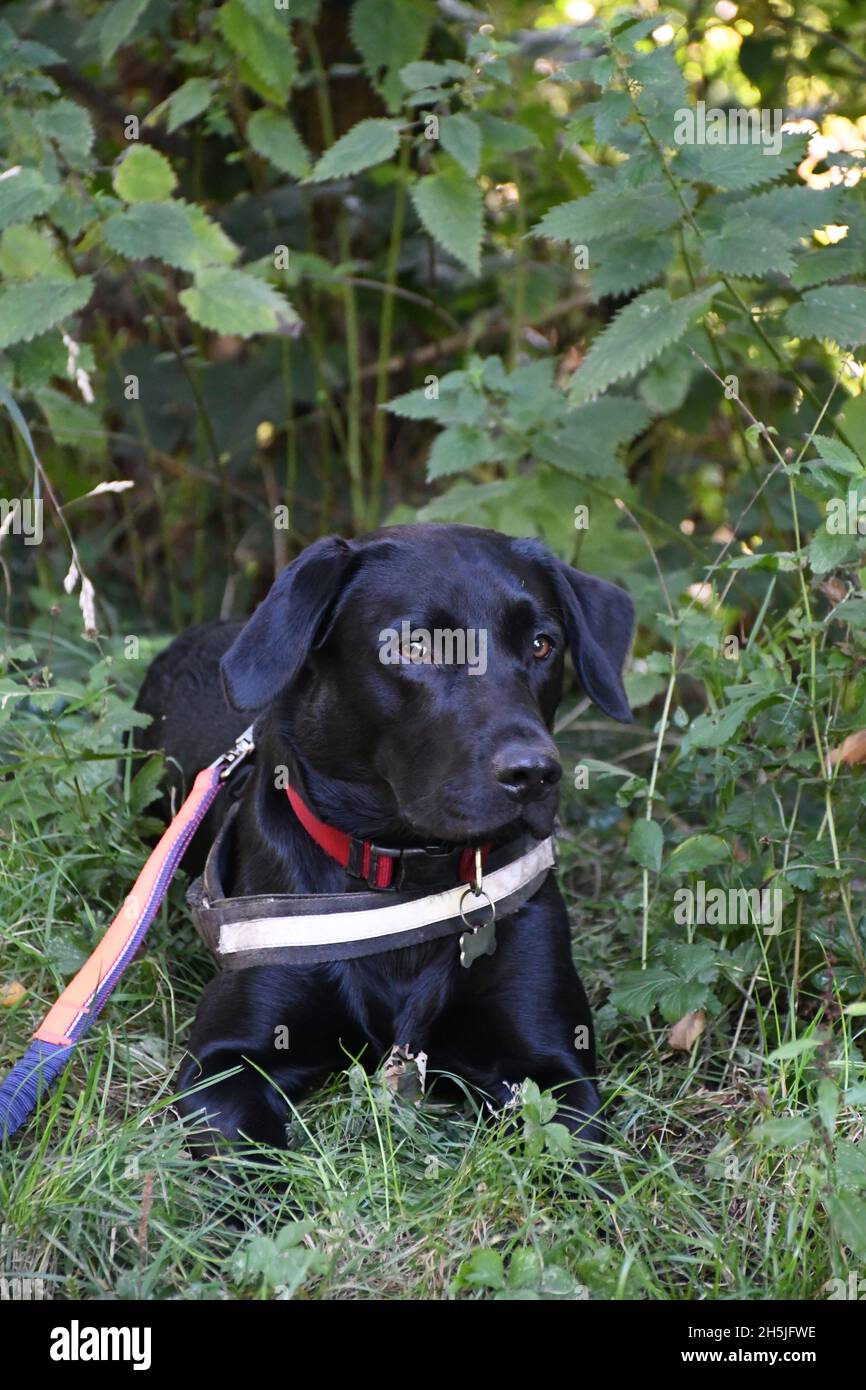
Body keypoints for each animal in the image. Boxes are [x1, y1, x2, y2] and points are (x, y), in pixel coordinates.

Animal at [136, 522, 636, 1150]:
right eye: (413, 646)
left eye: (543, 644)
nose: (534, 774)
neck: (403, 873)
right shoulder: (224, 1062)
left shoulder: (553, 1066)